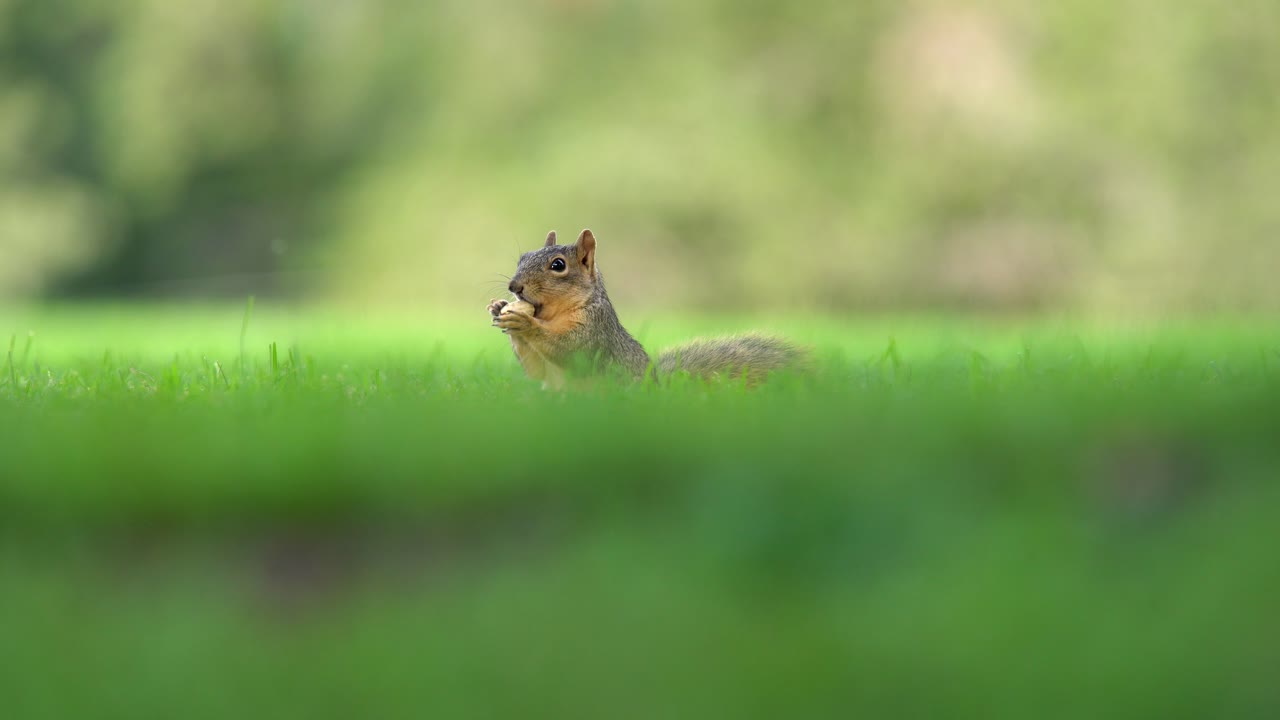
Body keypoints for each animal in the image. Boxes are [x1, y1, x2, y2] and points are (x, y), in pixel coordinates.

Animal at [487, 229, 804, 388]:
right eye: (523, 257)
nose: (514, 287)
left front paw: (525, 324)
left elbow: (569, 351)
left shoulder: (595, 331)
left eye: (558, 265)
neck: (551, 315)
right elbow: (536, 370)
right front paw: (499, 308)